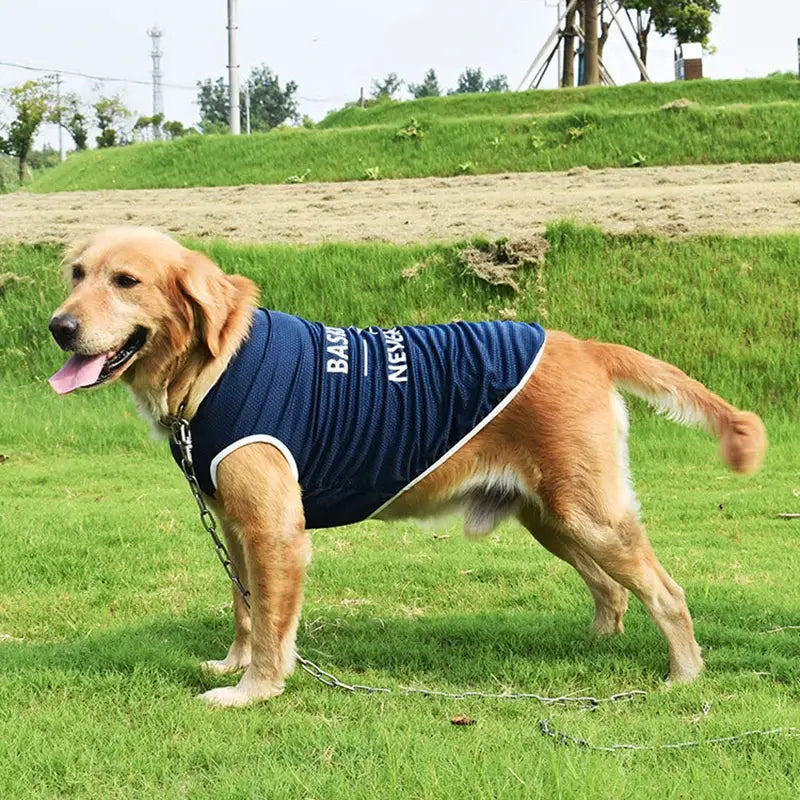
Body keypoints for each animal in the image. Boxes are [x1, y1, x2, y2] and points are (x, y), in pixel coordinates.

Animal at [50, 227, 768, 708]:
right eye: (77, 273)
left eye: (126, 281)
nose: (59, 326)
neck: (213, 364)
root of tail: (584, 345)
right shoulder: (234, 527)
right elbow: (245, 611)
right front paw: (233, 664)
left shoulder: (274, 533)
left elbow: (272, 625)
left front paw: (255, 689)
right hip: (553, 518)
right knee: (612, 590)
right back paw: (599, 644)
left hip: (590, 516)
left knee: (667, 593)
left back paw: (684, 675)